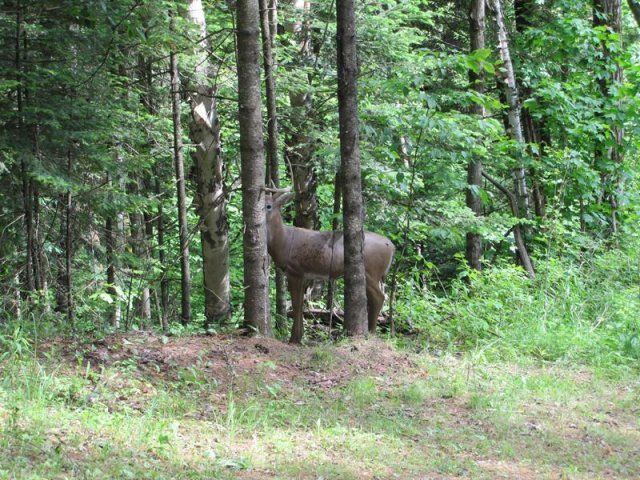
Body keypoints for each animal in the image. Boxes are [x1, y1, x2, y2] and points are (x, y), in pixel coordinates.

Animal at [264, 188, 395, 343]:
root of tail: (391, 246)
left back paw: (371, 332)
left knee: (379, 297)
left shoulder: (295, 270)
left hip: (371, 271)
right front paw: (299, 336)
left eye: (268, 206)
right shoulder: (304, 274)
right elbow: (301, 303)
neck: (284, 242)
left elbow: (296, 304)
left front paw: (294, 339)